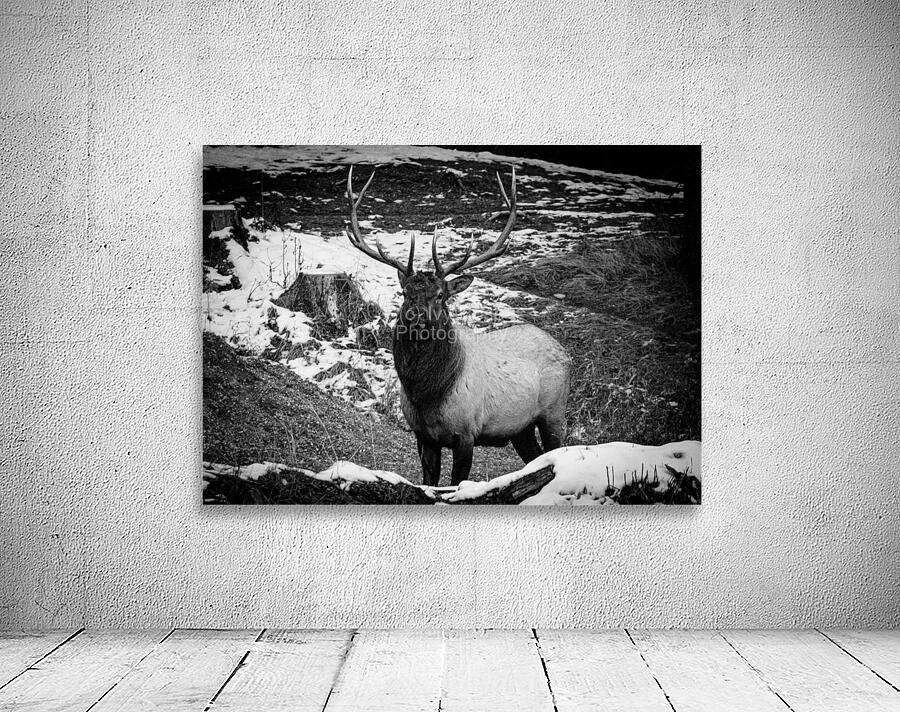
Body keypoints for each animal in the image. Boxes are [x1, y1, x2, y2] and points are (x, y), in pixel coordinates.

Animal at [345, 165, 572, 487]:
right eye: (405, 292)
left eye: (440, 295)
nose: (414, 316)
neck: (428, 396)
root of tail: (564, 350)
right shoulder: (423, 435)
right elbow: (429, 481)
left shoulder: (467, 432)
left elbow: (456, 483)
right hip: (520, 427)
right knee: (533, 458)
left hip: (555, 413)